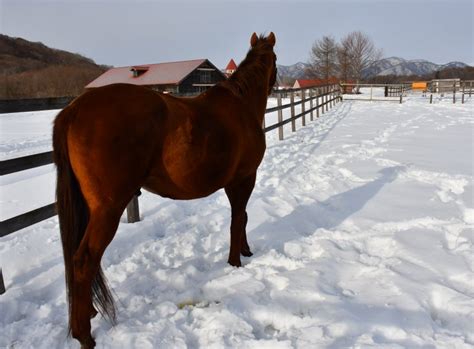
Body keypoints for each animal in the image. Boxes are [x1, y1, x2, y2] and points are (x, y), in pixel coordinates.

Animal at [53, 32, 276, 346]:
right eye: (276, 61)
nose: (275, 84)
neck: (241, 107)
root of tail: (73, 110)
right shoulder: (244, 178)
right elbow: (238, 218)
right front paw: (236, 261)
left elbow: (241, 218)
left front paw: (244, 251)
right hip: (107, 209)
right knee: (85, 260)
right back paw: (84, 335)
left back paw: (89, 313)